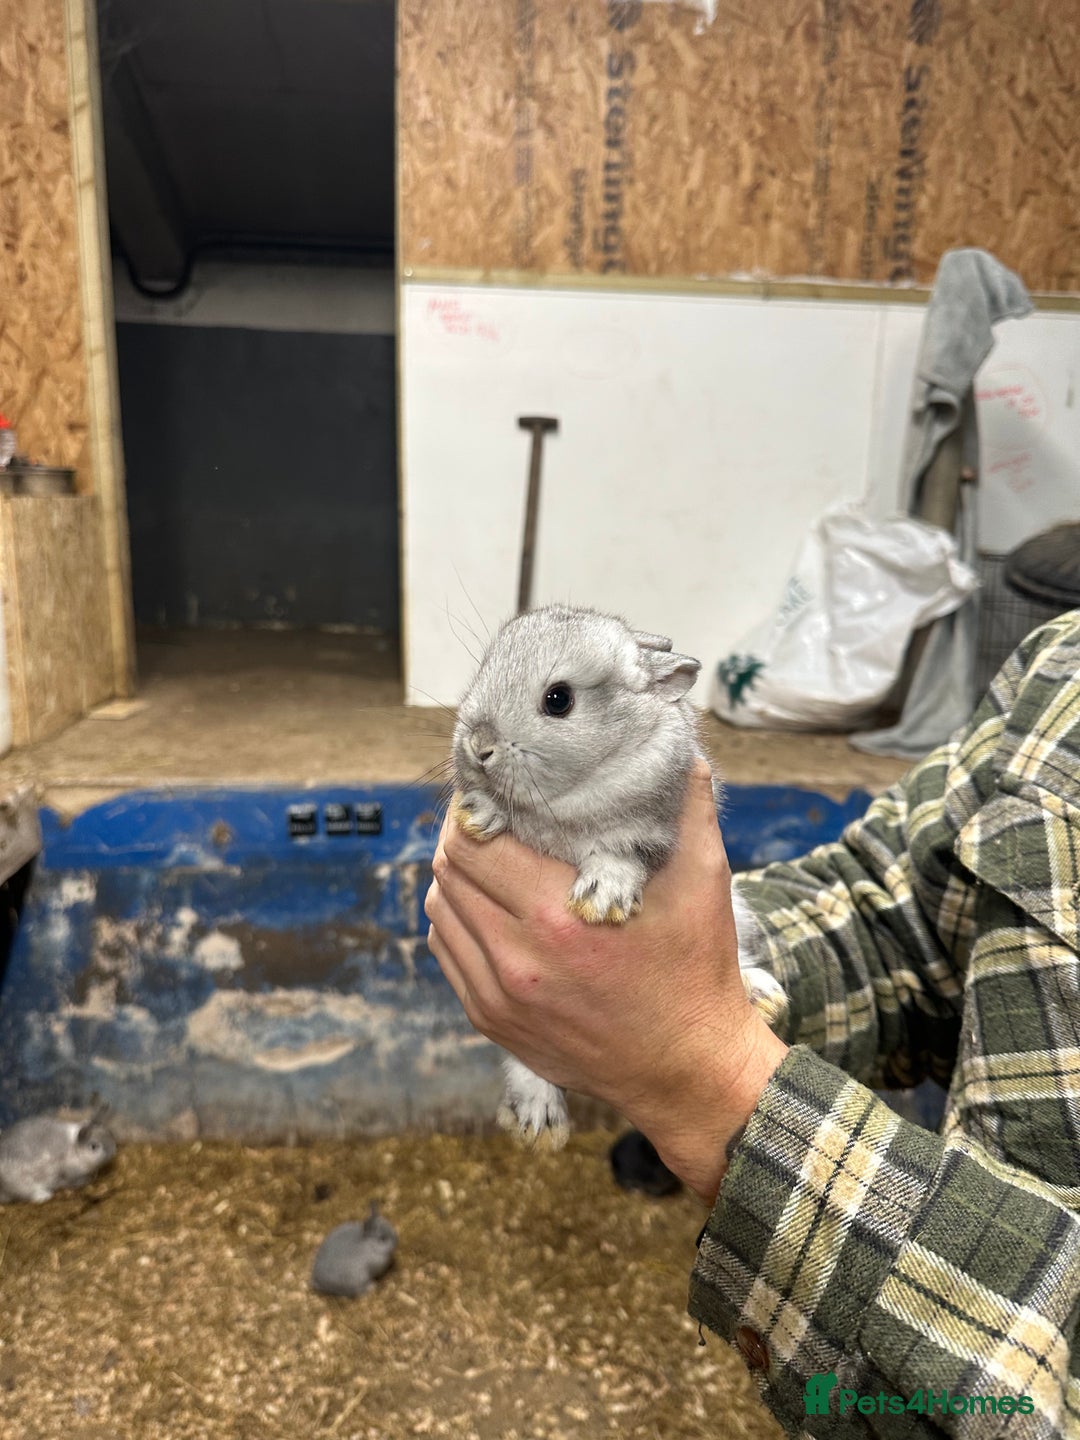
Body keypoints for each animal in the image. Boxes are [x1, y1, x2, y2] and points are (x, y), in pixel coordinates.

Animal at [450, 604, 788, 1149]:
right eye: (482, 671)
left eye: (558, 699)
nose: (478, 746)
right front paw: (478, 813)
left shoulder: (649, 830)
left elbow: (622, 854)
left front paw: (601, 900)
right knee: (528, 1056)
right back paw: (537, 1124)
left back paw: (761, 994)